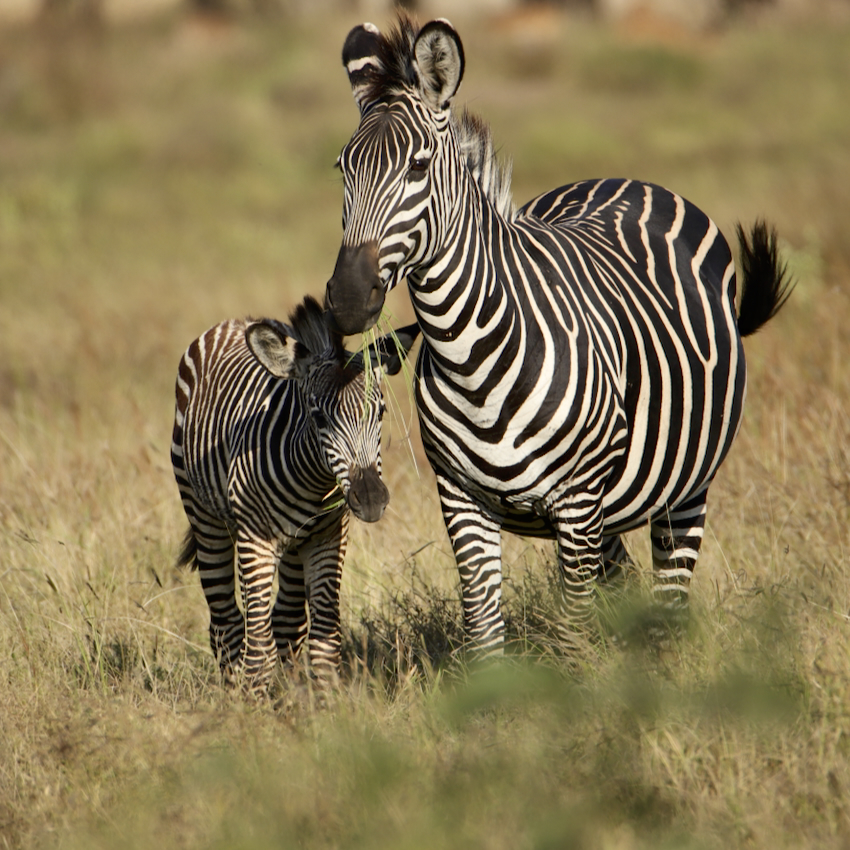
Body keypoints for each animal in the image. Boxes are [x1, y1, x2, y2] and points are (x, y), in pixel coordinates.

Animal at [171, 294, 416, 688]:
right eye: (319, 418)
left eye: (380, 412)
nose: (372, 500)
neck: (313, 482)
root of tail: (235, 323)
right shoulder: (256, 540)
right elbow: (258, 644)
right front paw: (252, 699)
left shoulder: (329, 537)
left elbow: (324, 636)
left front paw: (327, 697)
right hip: (204, 516)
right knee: (226, 622)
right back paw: (233, 689)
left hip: (295, 545)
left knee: (287, 620)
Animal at [322, 14, 788, 656]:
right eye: (342, 169)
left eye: (417, 167)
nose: (346, 301)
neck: (468, 356)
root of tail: (624, 179)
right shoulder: (461, 498)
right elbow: (485, 634)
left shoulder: (577, 499)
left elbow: (569, 633)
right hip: (607, 512)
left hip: (684, 488)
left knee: (668, 600)